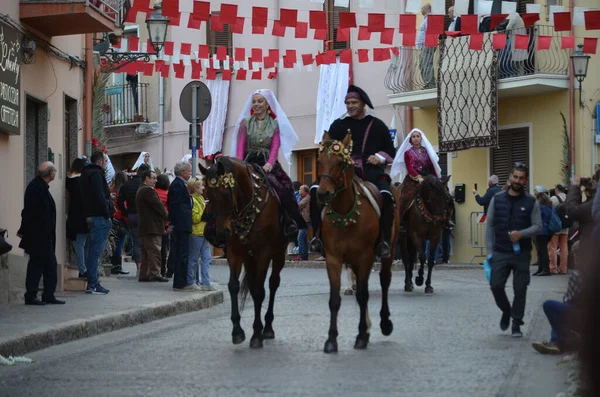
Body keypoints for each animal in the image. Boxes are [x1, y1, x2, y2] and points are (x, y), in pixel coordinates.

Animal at [198, 156, 288, 348]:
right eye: (207, 194)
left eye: (225, 192)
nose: (221, 233)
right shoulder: (235, 253)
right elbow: (234, 286)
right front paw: (238, 331)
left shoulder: (263, 254)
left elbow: (260, 292)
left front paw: (256, 335)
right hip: (249, 259)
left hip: (279, 254)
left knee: (273, 284)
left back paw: (267, 328)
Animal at [316, 131, 396, 352]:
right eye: (319, 161)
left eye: (341, 162)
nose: (323, 193)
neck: (345, 213)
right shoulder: (334, 258)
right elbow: (335, 299)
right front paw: (331, 340)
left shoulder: (365, 257)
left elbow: (363, 295)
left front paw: (361, 336)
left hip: (387, 252)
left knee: (384, 281)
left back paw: (384, 323)